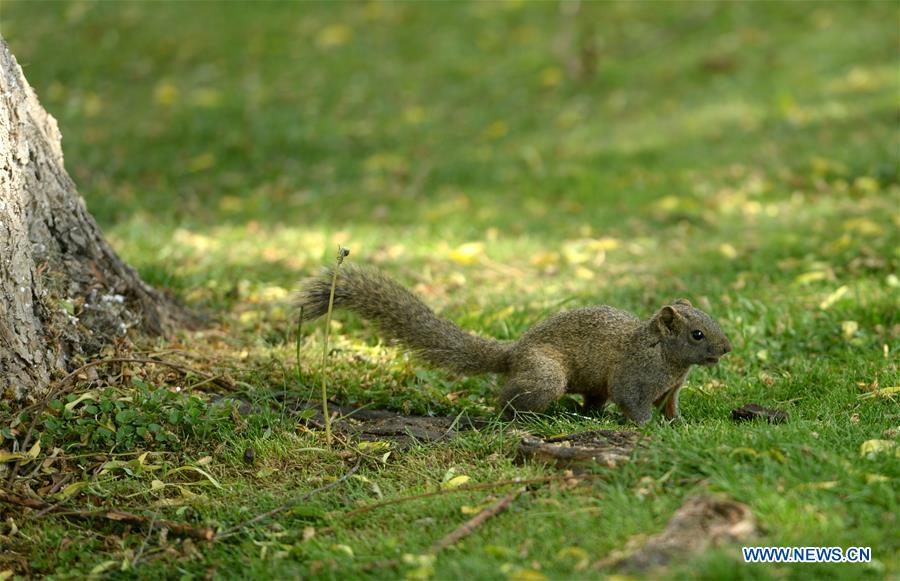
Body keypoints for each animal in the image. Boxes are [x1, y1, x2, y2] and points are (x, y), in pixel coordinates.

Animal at [296, 266, 732, 424]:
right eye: (697, 334)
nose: (727, 348)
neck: (668, 360)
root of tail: (515, 350)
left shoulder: (672, 388)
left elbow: (671, 406)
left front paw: (679, 425)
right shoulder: (633, 377)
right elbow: (633, 403)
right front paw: (648, 429)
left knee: (591, 401)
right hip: (545, 375)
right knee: (506, 397)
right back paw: (517, 417)